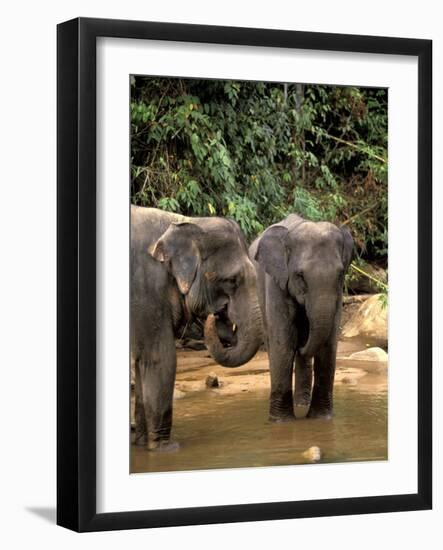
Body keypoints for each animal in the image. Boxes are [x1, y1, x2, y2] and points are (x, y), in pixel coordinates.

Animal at [132, 207, 264, 452]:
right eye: (231, 280)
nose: (216, 315)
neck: (187, 222)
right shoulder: (146, 289)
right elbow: (159, 358)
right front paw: (166, 449)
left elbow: (140, 360)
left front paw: (141, 445)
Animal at [250, 215, 354, 422]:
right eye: (300, 275)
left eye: (340, 274)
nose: (301, 346)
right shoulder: (276, 283)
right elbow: (283, 343)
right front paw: (281, 422)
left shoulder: (338, 293)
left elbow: (329, 344)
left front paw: (322, 419)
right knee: (272, 341)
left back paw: (302, 404)